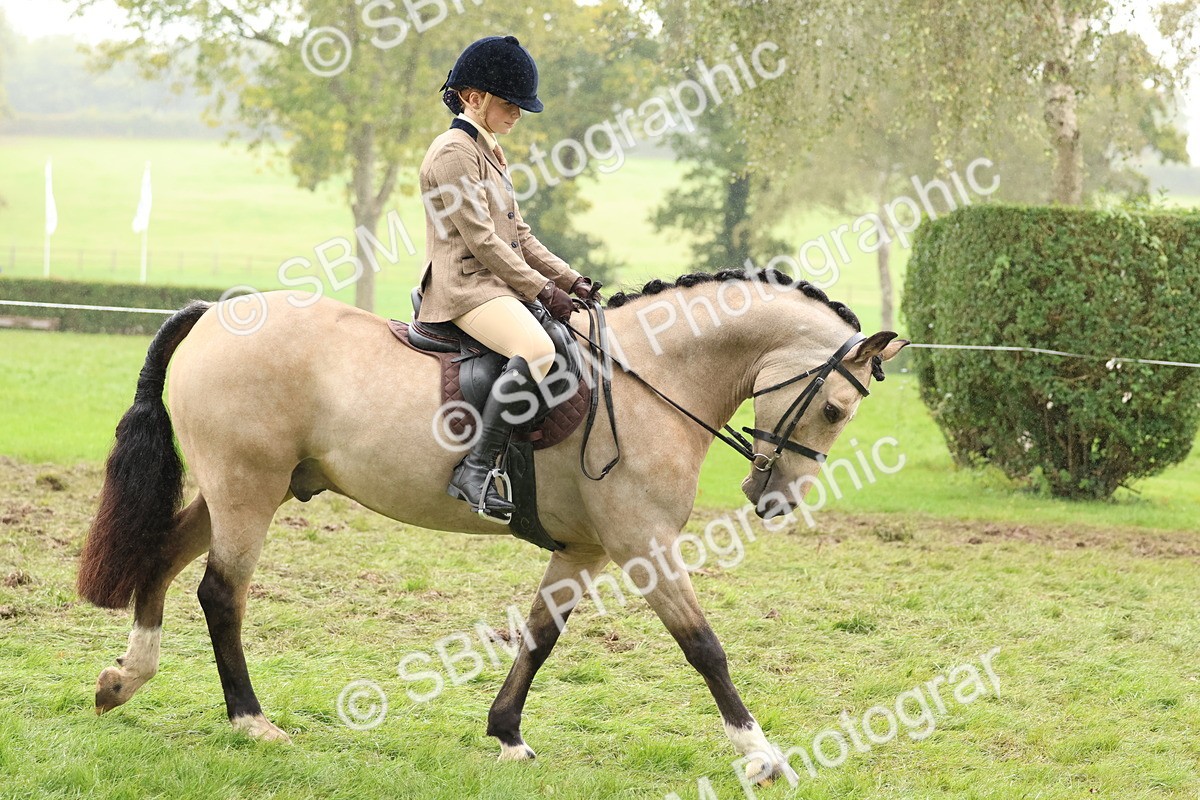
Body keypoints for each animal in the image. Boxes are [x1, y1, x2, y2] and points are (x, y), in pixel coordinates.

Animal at [76, 268, 906, 784]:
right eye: (836, 409)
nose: (775, 501)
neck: (653, 377)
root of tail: (217, 314)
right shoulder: (642, 545)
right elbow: (703, 646)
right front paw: (761, 756)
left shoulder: (585, 549)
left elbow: (540, 637)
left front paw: (506, 733)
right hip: (247, 491)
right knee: (221, 595)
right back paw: (251, 721)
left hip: (244, 490)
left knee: (162, 558)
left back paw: (124, 679)